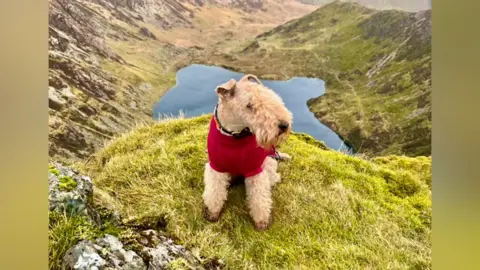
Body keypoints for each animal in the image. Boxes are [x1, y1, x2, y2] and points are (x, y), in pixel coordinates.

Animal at [202, 74, 292, 230]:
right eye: (249, 105)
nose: (284, 125)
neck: (234, 135)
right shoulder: (216, 166)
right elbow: (215, 191)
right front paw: (213, 213)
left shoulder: (255, 170)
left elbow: (259, 197)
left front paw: (261, 221)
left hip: (269, 162)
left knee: (273, 177)